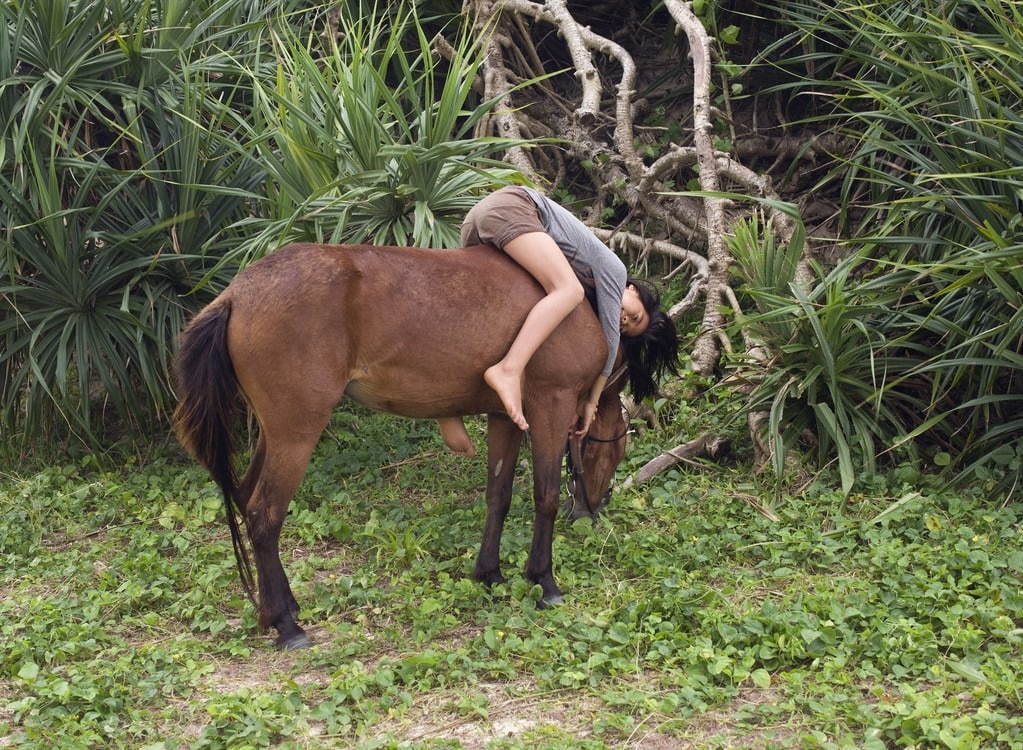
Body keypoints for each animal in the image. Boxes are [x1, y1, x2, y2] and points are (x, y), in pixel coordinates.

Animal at [171, 242, 626, 646]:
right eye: (614, 452)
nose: (596, 506)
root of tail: (237, 293)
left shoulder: (505, 417)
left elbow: (498, 496)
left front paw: (489, 574)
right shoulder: (551, 405)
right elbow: (544, 496)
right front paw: (544, 581)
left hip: (276, 432)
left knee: (246, 499)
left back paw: (276, 608)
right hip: (295, 434)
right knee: (264, 515)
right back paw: (286, 625)